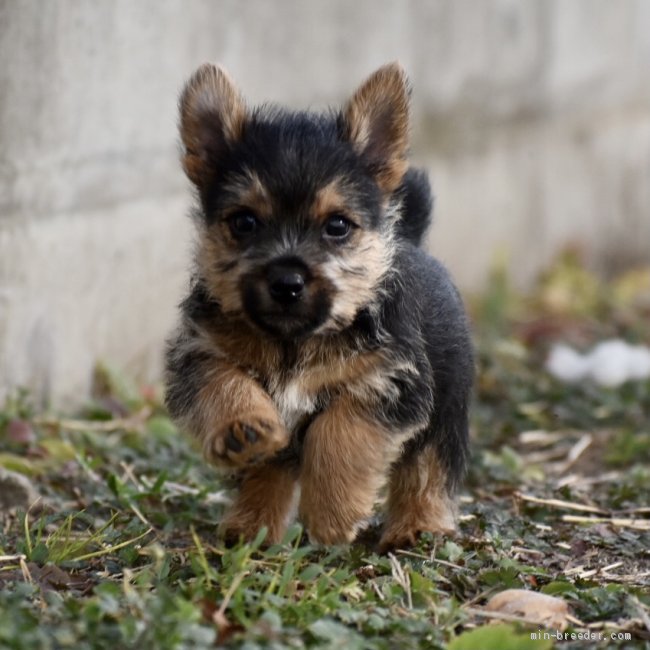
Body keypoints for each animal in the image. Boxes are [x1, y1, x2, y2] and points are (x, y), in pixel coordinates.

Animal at [165, 60, 470, 548]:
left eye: (337, 226)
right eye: (244, 222)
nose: (287, 282)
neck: (293, 341)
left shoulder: (387, 381)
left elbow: (340, 431)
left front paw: (332, 514)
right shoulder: (200, 353)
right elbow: (224, 385)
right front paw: (242, 428)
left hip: (446, 409)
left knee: (428, 468)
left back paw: (417, 528)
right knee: (269, 470)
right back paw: (251, 525)